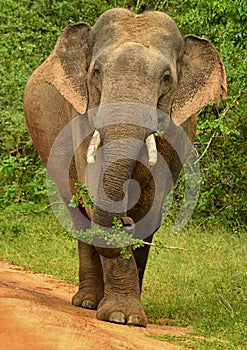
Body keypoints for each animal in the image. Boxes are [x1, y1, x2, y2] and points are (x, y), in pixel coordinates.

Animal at [24, 8, 227, 326]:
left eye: (166, 78)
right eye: (96, 72)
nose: (127, 221)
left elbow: (151, 206)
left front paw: (127, 317)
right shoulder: (81, 117)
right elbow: (95, 198)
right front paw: (119, 316)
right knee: (79, 214)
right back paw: (87, 302)